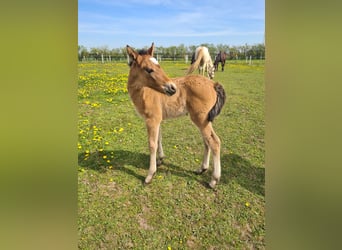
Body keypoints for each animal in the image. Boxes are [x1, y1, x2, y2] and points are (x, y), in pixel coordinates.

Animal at [127, 42, 226, 188]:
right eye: (148, 70)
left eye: (159, 66)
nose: (172, 88)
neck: (145, 92)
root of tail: (213, 83)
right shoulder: (158, 120)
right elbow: (159, 139)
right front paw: (160, 159)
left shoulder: (152, 120)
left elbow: (152, 144)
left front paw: (150, 175)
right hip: (205, 120)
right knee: (207, 141)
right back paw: (202, 169)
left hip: (200, 119)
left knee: (214, 142)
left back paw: (214, 179)